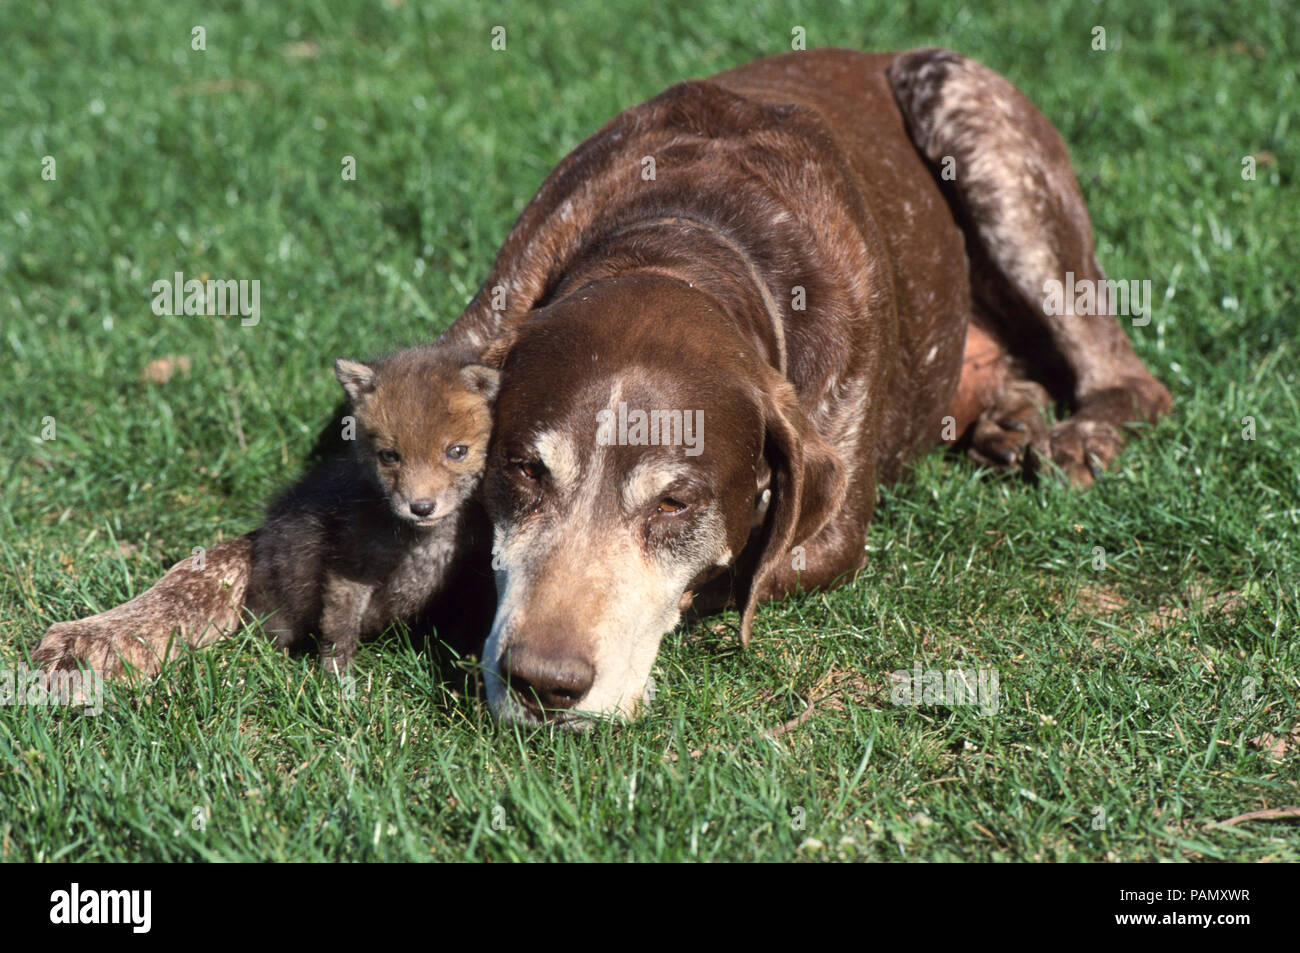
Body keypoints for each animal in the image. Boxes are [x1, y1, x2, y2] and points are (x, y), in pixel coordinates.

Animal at [32, 48, 1170, 722]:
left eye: (675, 502)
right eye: (522, 474)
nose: (543, 683)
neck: (685, 239)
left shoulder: (824, 524)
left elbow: (729, 570)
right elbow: (233, 550)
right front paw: (112, 630)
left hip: (965, 103)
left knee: (1132, 374)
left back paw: (1080, 429)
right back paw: (1010, 416)